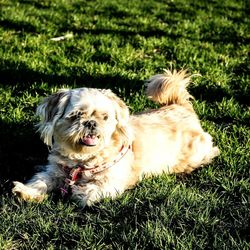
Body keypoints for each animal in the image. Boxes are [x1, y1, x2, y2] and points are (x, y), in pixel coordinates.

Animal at [12, 69, 219, 207]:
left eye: (105, 117)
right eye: (76, 115)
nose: (90, 123)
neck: (82, 160)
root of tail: (181, 106)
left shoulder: (114, 179)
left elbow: (92, 191)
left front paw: (80, 191)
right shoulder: (55, 171)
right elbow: (42, 180)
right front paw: (26, 191)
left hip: (196, 152)